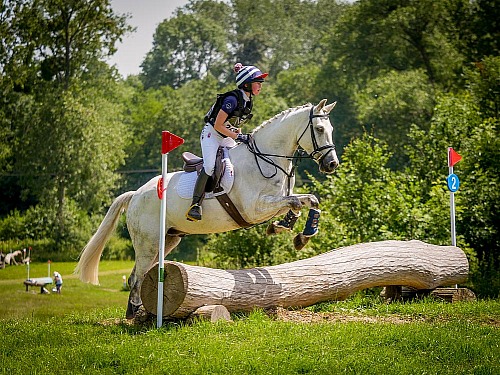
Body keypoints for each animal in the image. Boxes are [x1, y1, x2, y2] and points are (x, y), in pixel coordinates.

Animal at [75, 100, 340, 318]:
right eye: (319, 129)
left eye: (331, 130)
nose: (332, 164)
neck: (266, 158)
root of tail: (136, 195)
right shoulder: (254, 208)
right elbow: (294, 202)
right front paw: (291, 231)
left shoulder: (274, 202)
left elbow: (308, 201)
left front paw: (297, 233)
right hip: (148, 241)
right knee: (136, 276)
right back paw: (133, 313)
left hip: (168, 239)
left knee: (141, 274)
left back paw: (141, 310)